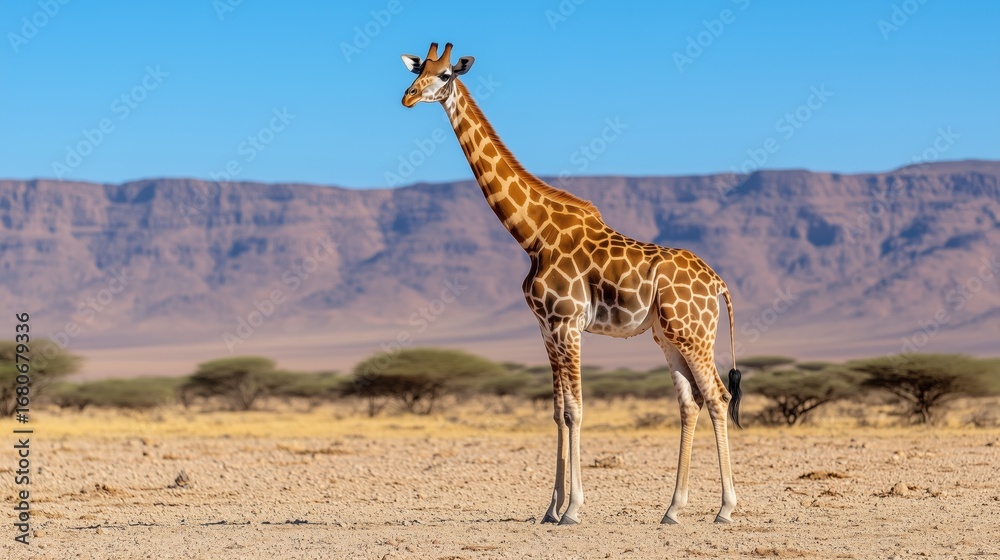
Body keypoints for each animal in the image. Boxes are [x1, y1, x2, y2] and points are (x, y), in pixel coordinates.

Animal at [400, 42, 744, 525]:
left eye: (446, 74)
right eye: (418, 71)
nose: (408, 97)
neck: (533, 234)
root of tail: (719, 283)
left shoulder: (568, 323)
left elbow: (576, 411)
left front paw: (574, 509)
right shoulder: (546, 328)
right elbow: (558, 412)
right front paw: (550, 508)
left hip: (694, 333)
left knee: (716, 396)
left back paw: (725, 509)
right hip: (667, 336)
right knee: (689, 402)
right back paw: (673, 509)